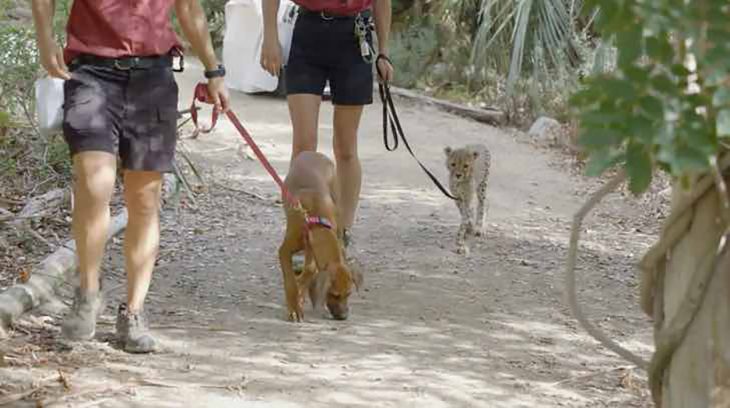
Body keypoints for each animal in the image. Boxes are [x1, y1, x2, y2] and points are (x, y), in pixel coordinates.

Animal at [278, 151, 360, 322]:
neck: (317, 219)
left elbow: (309, 270)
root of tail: (314, 153)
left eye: (349, 294)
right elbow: (290, 280)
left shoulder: (312, 247)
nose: (344, 317)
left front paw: (301, 294)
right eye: (334, 295)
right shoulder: (284, 250)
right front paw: (294, 307)